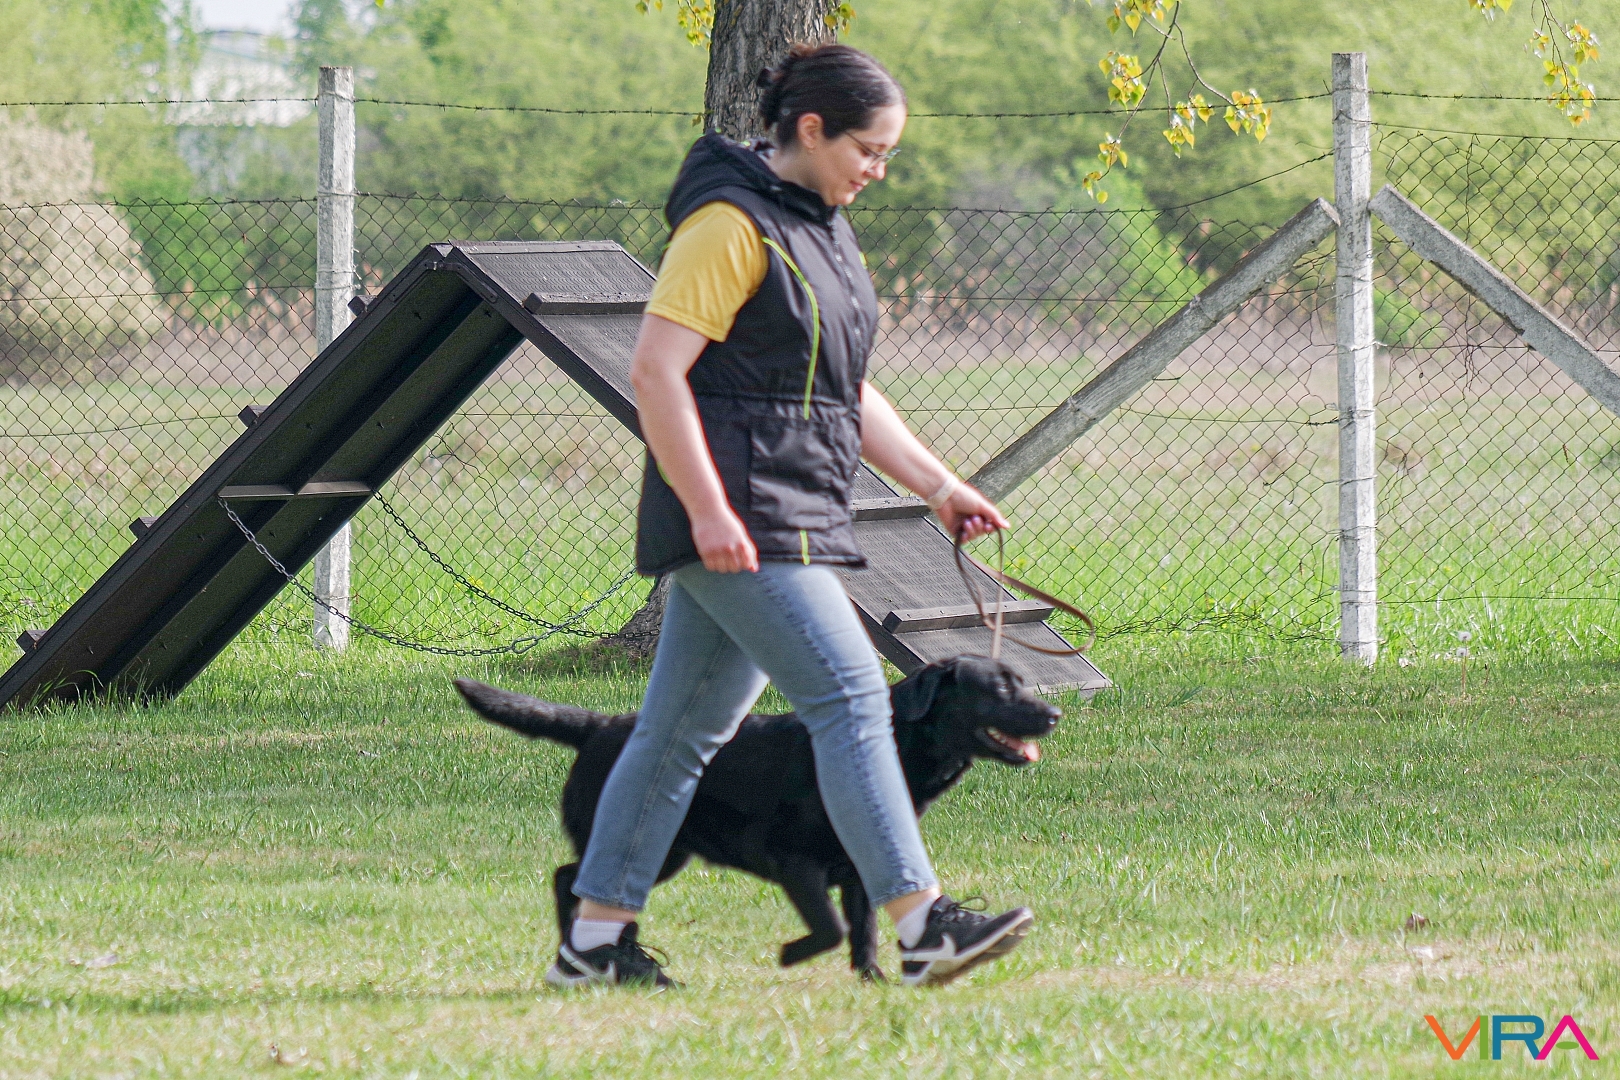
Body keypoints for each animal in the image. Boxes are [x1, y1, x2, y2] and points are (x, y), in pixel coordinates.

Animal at [454, 655, 1060, 979]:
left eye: (1021, 681)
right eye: (999, 688)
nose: (1054, 712)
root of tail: (599, 725)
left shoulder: (860, 869)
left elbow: (863, 930)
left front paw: (875, 980)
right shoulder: (793, 861)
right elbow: (831, 928)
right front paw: (792, 954)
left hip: (667, 851)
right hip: (651, 845)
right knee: (568, 880)